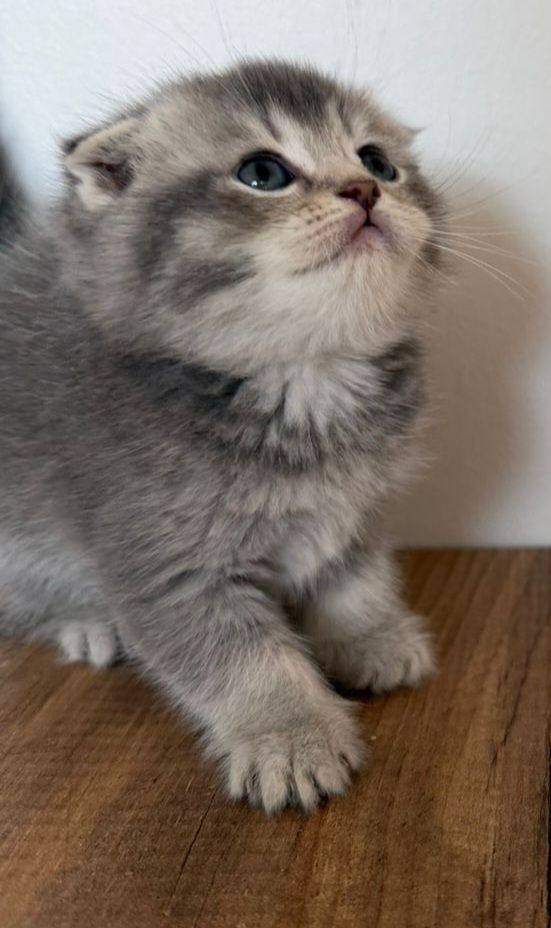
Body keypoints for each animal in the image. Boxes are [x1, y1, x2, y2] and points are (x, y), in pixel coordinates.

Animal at [0, 60, 443, 813]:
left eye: (378, 162)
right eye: (262, 173)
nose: (364, 191)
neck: (305, 377)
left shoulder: (353, 512)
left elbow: (354, 581)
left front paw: (373, 636)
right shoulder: (167, 563)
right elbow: (243, 659)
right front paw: (290, 737)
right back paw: (82, 623)